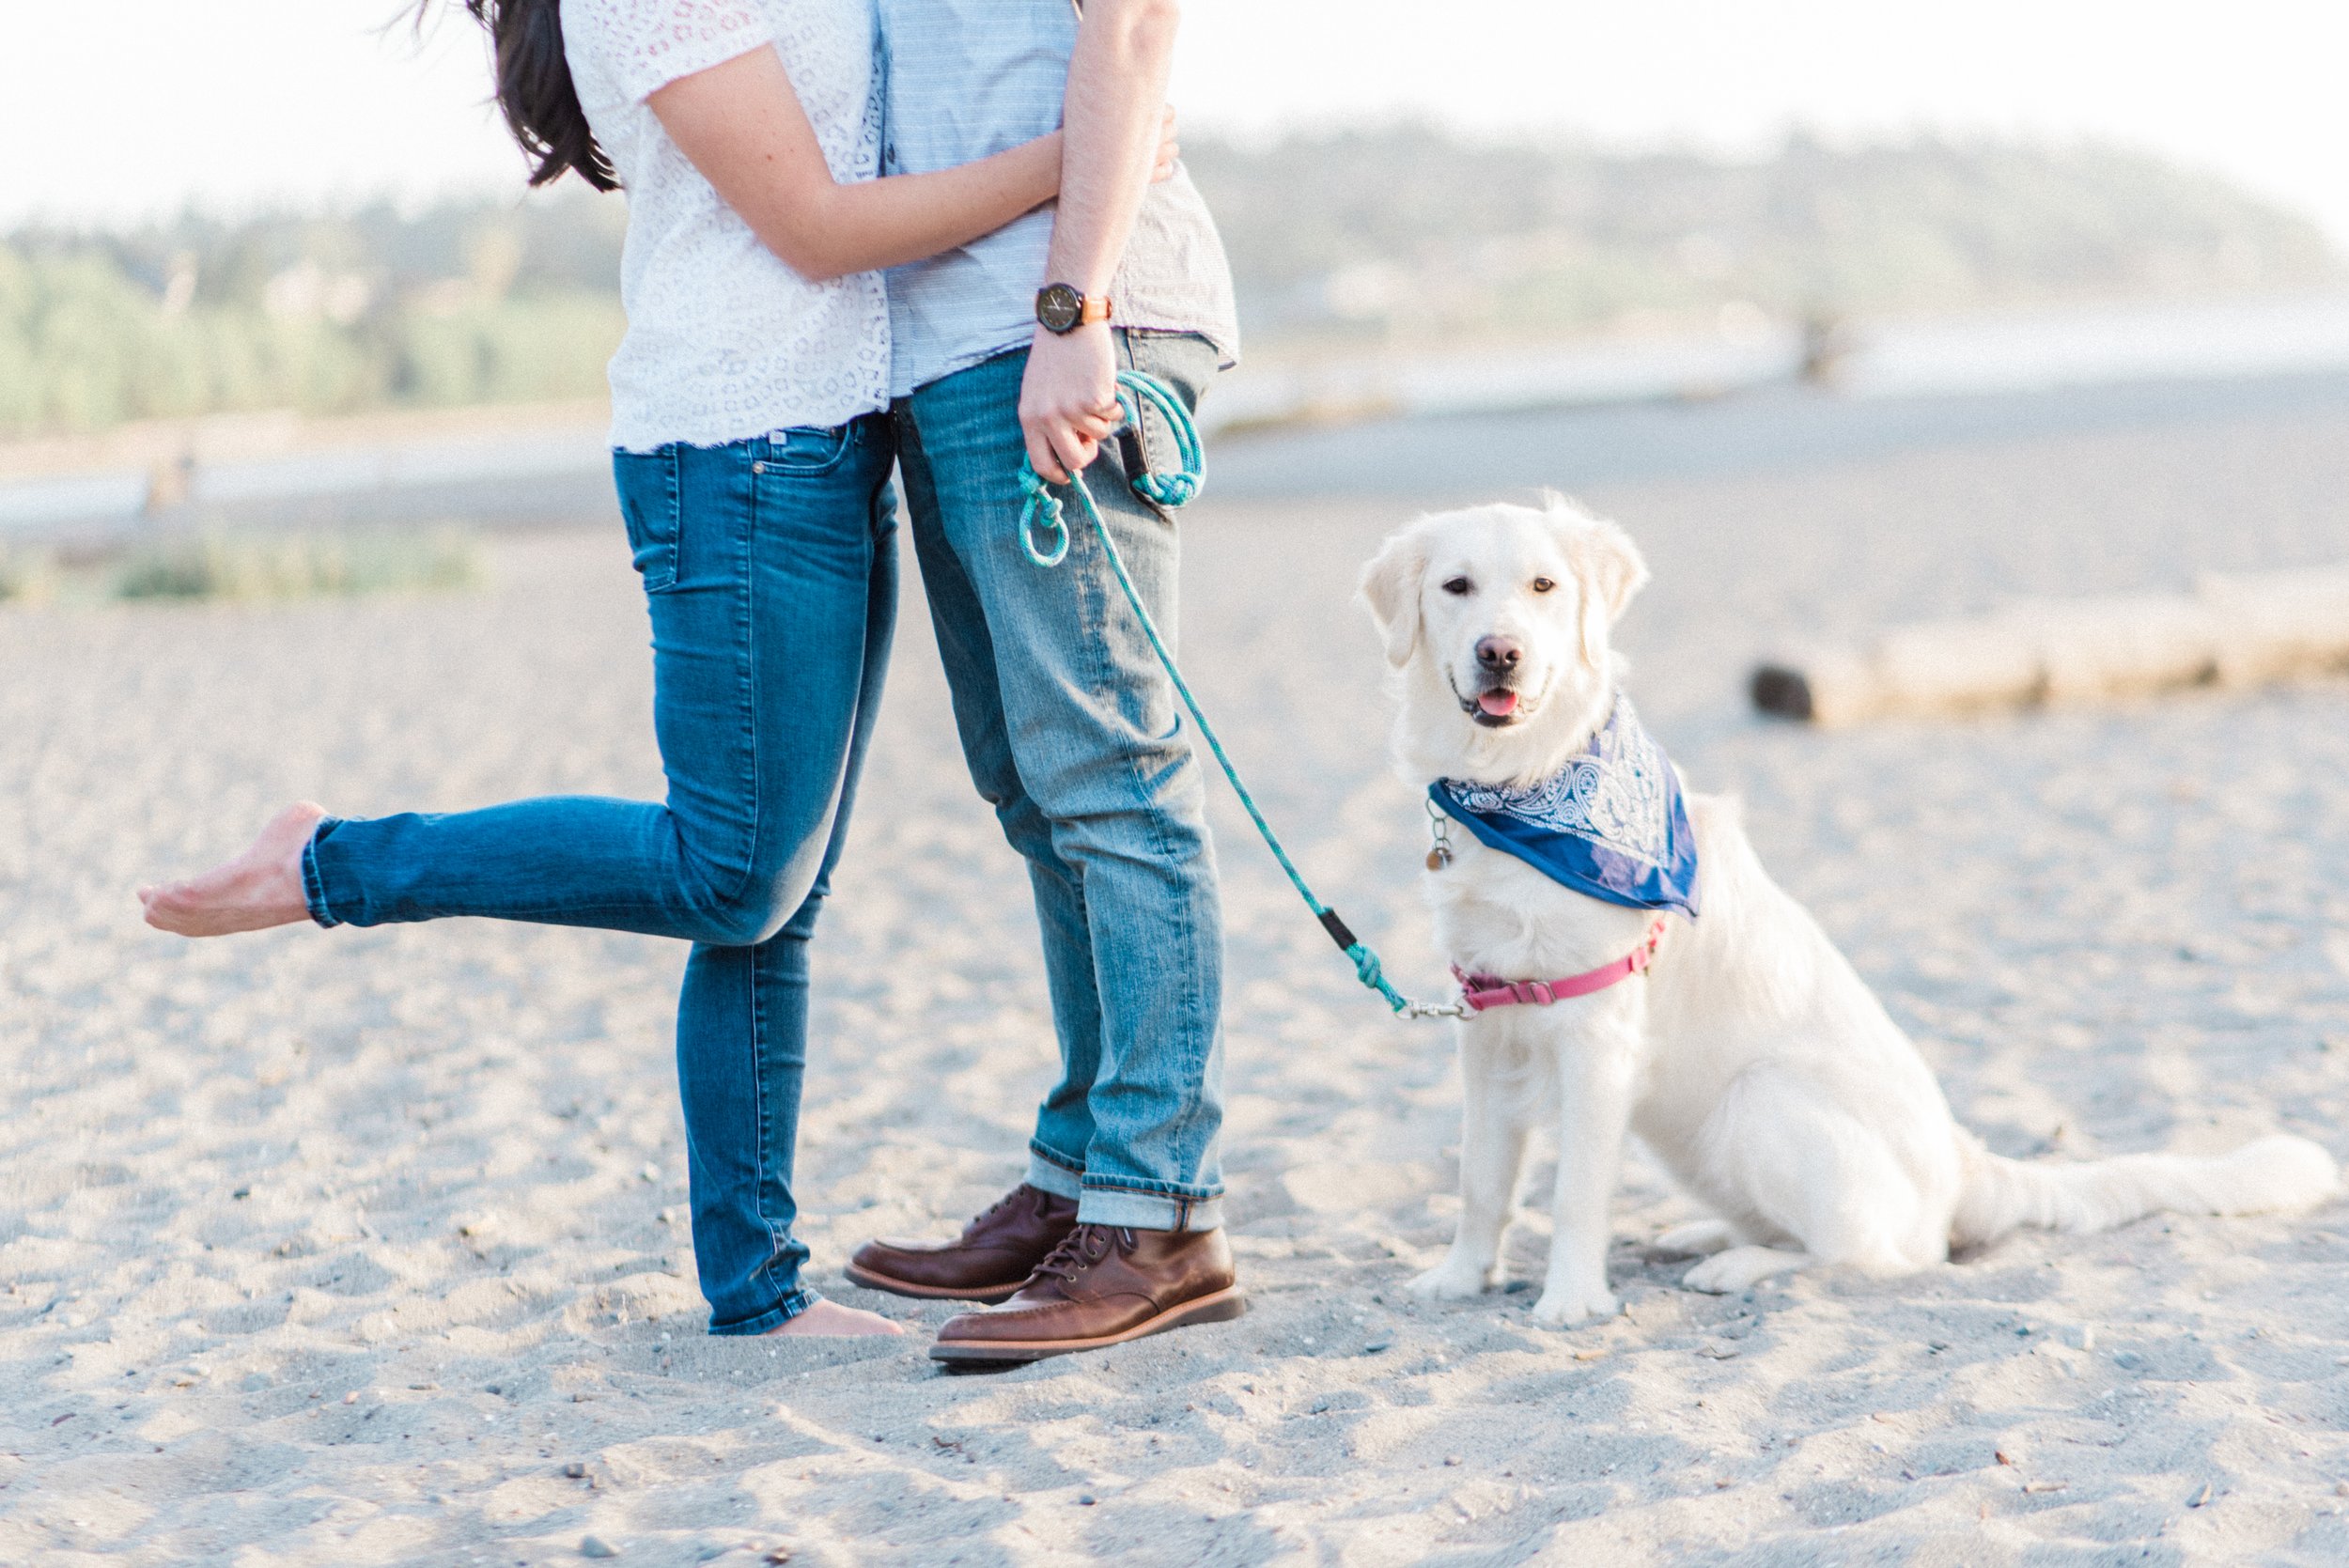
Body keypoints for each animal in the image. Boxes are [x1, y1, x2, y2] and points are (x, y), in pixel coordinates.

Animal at [1353, 500, 2340, 1324]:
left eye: (1544, 587)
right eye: (1456, 587)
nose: (1501, 651)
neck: (1522, 785)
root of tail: (1959, 1159)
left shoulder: (1598, 1033)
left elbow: (1573, 1191)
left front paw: (1568, 1299)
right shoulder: (1488, 1018)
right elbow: (1482, 1179)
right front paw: (1459, 1277)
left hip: (1759, 1102)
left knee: (1875, 1254)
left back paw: (1741, 1264)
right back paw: (1705, 1235)